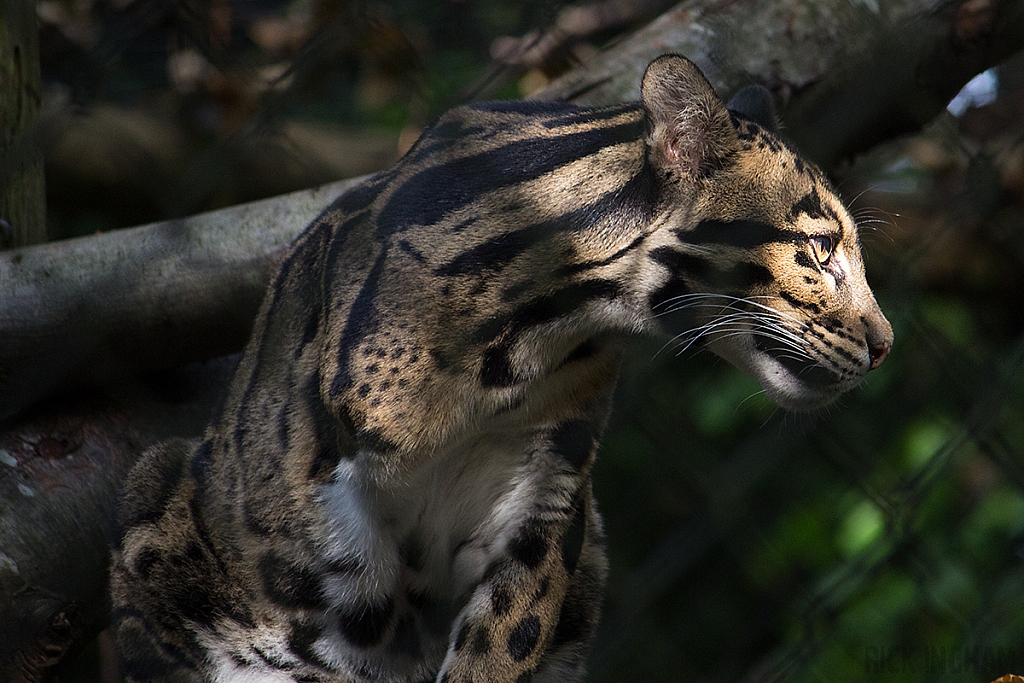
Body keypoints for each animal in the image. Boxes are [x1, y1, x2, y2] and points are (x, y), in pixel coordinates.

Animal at [112, 54, 892, 683]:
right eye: (820, 250)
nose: (886, 343)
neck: (524, 350)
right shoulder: (340, 505)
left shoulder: (543, 500)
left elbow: (502, 643)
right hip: (155, 491)